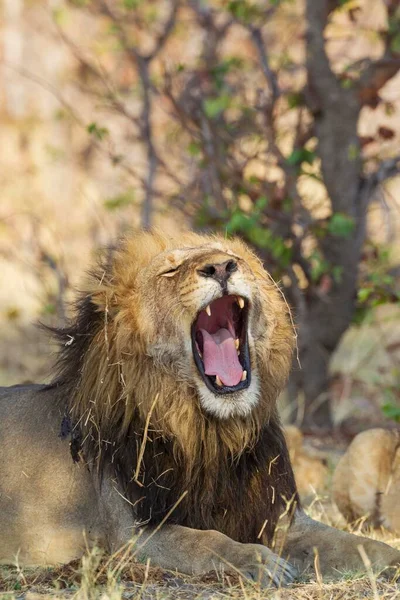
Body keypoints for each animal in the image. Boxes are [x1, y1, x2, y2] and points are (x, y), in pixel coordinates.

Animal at [0, 231, 400, 584]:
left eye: (233, 256)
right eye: (170, 270)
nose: (221, 267)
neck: (213, 432)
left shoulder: (282, 518)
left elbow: (358, 544)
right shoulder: (131, 535)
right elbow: (203, 540)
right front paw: (258, 561)